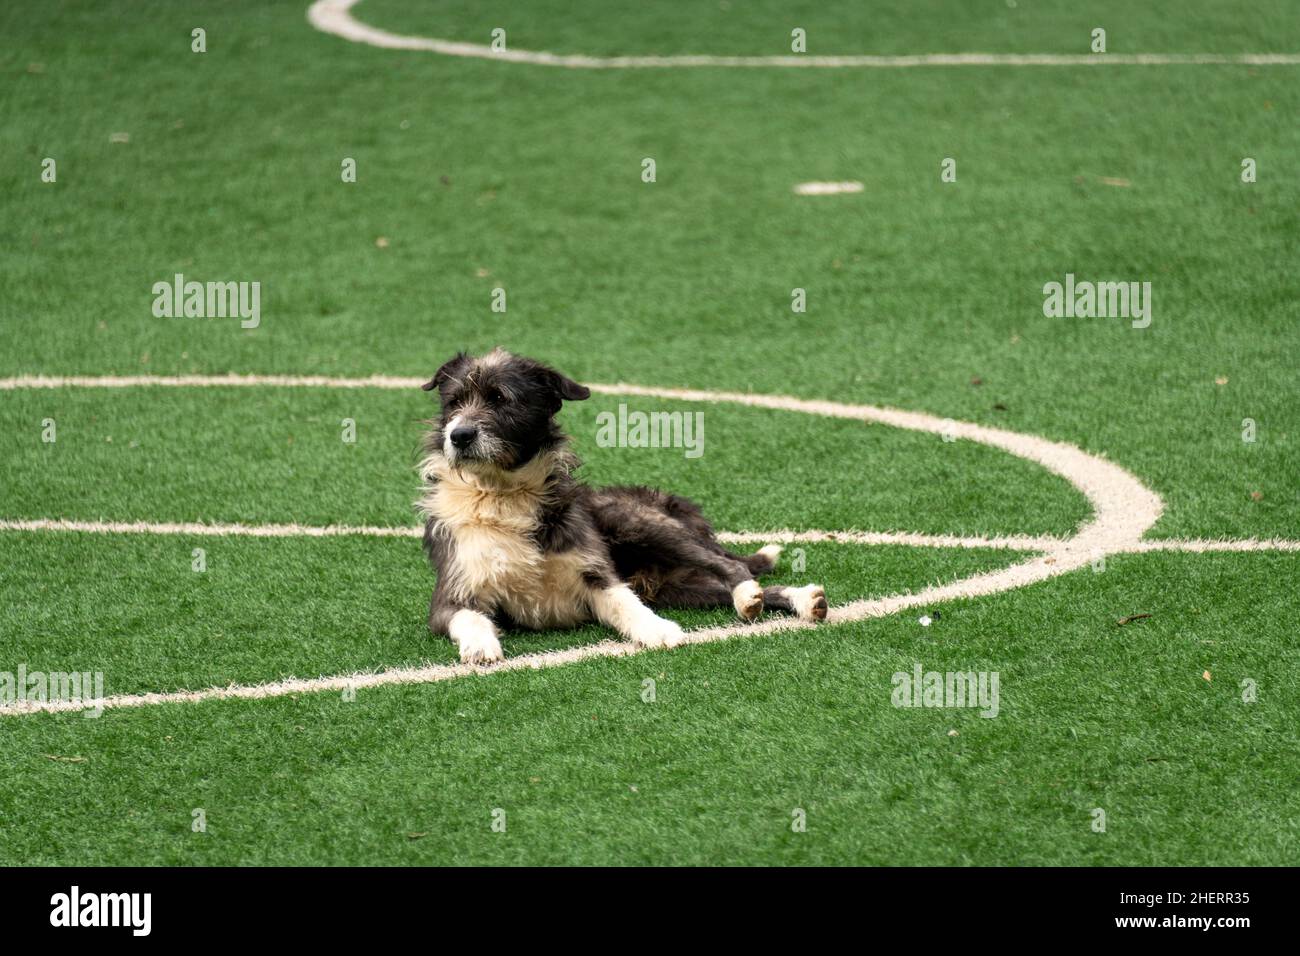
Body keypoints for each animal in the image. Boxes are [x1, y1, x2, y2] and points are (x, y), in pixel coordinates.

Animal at [410, 348, 826, 665]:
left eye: (500, 399)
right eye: (453, 402)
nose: (459, 435)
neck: (501, 495)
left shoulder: (597, 575)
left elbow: (628, 605)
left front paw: (659, 630)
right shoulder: (450, 596)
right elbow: (469, 618)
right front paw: (481, 646)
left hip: (639, 524)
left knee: (733, 566)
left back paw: (764, 596)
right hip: (678, 587)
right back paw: (800, 600)